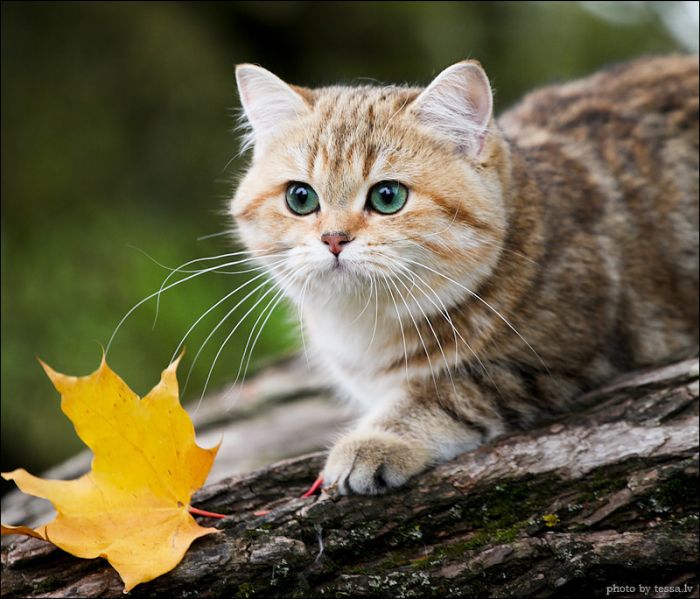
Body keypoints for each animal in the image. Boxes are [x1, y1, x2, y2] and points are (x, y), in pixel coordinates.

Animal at [228, 55, 696, 496]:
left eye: (387, 196)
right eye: (300, 197)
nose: (333, 238)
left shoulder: (540, 361)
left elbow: (443, 394)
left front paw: (375, 441)